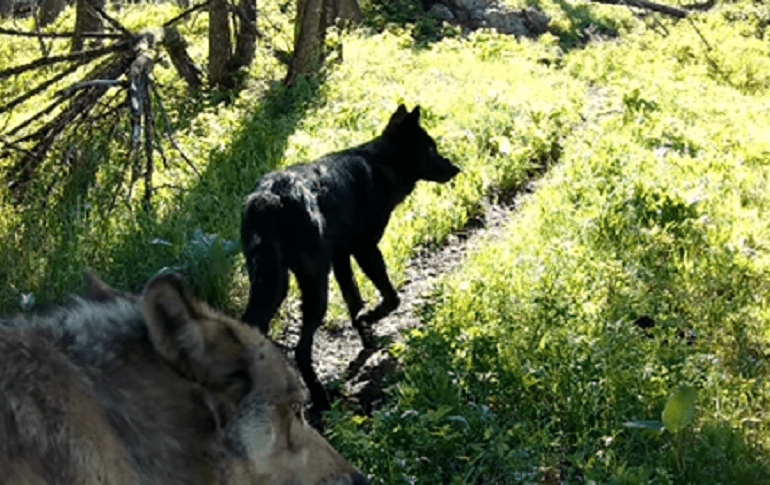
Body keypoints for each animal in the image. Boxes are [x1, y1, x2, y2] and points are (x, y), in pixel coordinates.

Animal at [241, 104, 461, 412]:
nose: (456, 168)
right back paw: (320, 399)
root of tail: (271, 195)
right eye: (431, 149)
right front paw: (370, 318)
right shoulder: (365, 249)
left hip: (274, 285)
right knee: (300, 350)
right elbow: (391, 297)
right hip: (314, 285)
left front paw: (367, 337)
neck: (380, 166)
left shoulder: (342, 258)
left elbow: (354, 300)